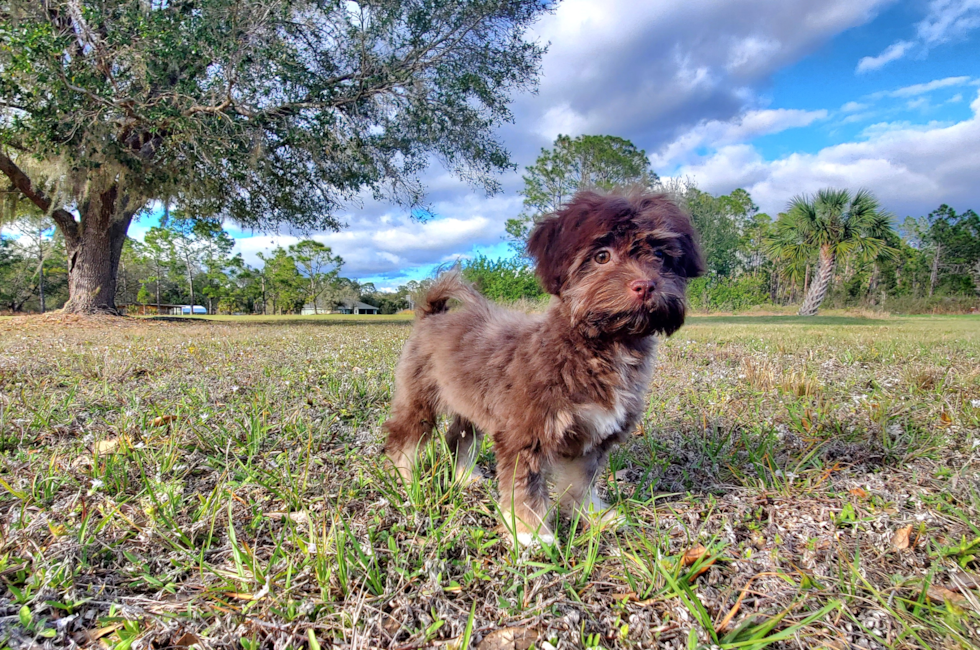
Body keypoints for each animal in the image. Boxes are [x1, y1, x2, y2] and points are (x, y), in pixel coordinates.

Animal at [382, 187, 704, 540]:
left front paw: (593, 516)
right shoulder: (526, 434)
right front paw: (531, 534)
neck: (599, 347)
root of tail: (433, 315)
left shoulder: (592, 436)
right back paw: (406, 481)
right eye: (601, 256)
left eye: (660, 256)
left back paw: (464, 477)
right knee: (404, 438)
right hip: (420, 397)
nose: (646, 285)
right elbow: (524, 487)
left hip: (468, 400)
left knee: (459, 437)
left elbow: (580, 482)